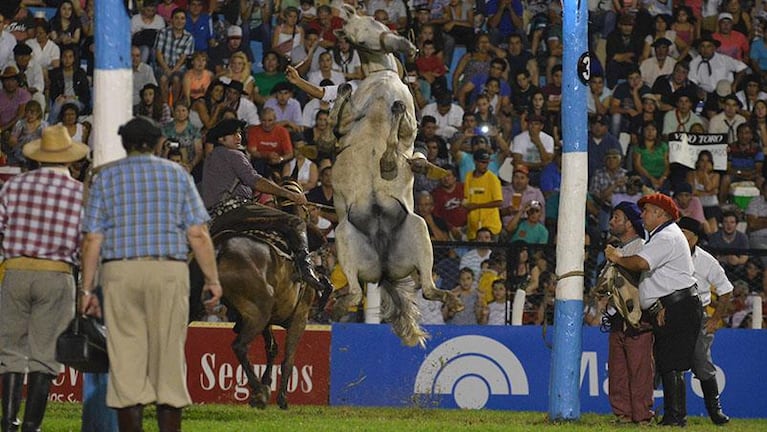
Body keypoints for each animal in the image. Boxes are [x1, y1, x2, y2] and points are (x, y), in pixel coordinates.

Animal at [191, 184, 318, 410]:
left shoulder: (268, 321)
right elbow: (288, 357)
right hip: (259, 310)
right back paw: (259, 392)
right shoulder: (300, 317)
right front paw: (280, 397)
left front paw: (267, 382)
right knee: (240, 346)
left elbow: (272, 348)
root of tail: (221, 248)